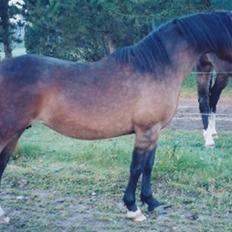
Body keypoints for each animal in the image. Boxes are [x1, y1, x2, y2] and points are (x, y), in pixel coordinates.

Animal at [0, 11, 232, 223]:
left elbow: (148, 165)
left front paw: (151, 202)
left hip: (14, 135)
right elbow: (136, 168)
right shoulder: (145, 131)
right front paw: (133, 208)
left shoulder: (154, 131)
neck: (155, 68)